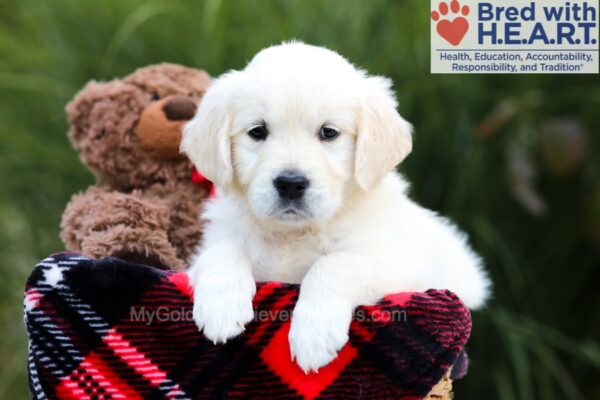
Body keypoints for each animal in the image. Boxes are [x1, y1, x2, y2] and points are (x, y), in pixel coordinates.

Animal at [180, 40, 490, 372]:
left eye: (328, 132)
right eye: (257, 131)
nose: (291, 184)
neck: (294, 234)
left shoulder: (397, 269)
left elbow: (334, 263)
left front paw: (313, 335)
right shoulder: (214, 243)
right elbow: (223, 250)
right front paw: (221, 308)